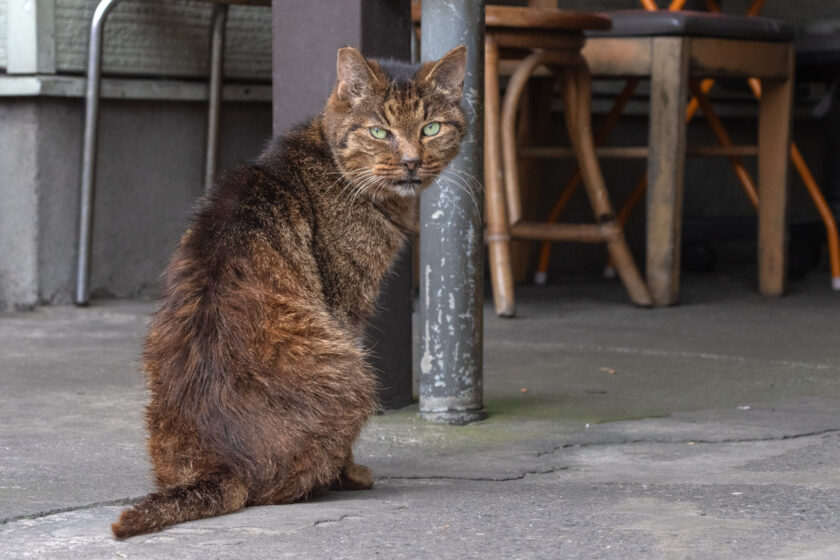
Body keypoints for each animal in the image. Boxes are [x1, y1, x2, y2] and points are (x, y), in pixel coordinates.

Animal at [110, 44, 466, 540]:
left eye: (430, 128)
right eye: (381, 131)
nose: (413, 161)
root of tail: (221, 466)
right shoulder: (344, 306)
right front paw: (352, 474)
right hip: (354, 371)